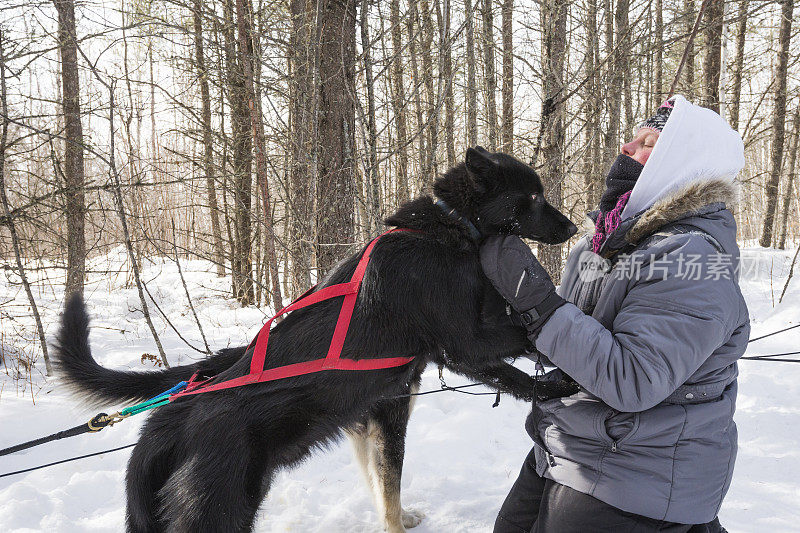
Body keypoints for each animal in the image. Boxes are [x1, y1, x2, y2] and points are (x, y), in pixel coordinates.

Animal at [53, 147, 576, 532]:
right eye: (532, 198)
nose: (573, 225)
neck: (446, 229)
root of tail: (167, 426)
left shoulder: (382, 414)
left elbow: (386, 488)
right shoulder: (464, 344)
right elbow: (521, 351)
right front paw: (560, 381)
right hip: (222, 512)